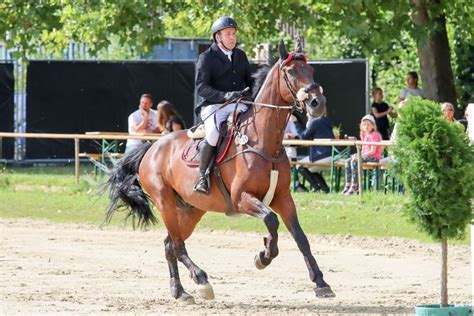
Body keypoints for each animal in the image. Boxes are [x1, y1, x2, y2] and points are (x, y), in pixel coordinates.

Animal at [106, 40, 336, 304]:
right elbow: (271, 220)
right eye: (291, 72)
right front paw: (263, 256)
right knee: (177, 245)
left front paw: (321, 283)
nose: (317, 103)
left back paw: (180, 291)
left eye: (311, 71)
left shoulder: (283, 198)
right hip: (165, 202)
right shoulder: (241, 198)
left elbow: (300, 237)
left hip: (190, 210)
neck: (262, 140)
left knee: (169, 244)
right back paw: (201, 280)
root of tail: (151, 149)